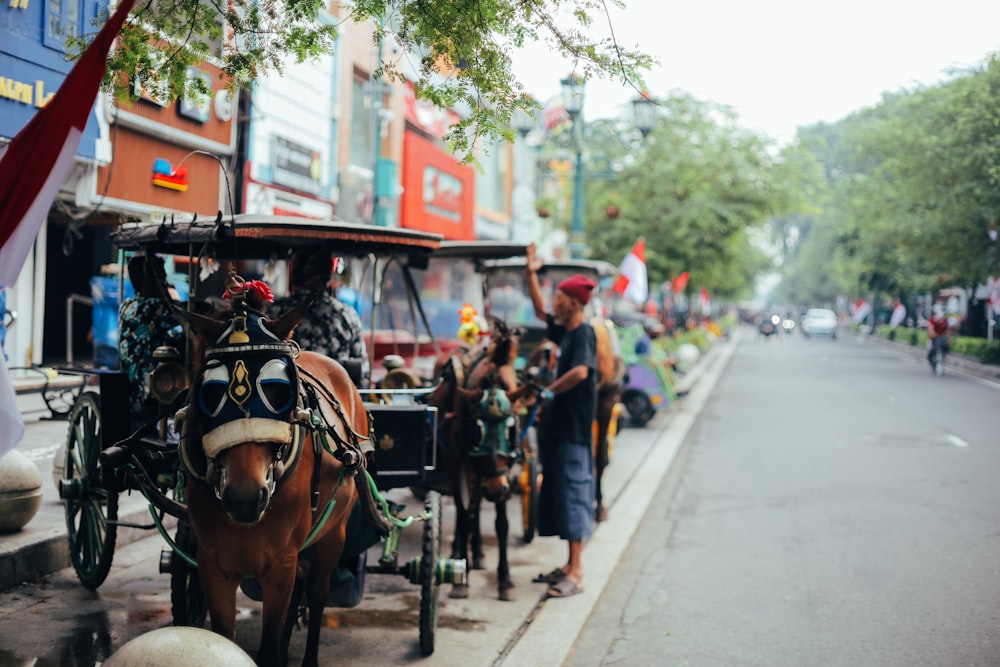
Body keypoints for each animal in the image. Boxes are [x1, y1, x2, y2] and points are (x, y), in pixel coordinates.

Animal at [174, 288, 380, 667]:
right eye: (210, 392)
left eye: (278, 389)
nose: (244, 497)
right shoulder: (212, 567)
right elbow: (224, 638)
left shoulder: (280, 566)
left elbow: (268, 647)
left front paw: (279, 651)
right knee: (302, 585)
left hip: (334, 532)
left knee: (317, 593)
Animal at [424, 316, 528, 604]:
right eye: (477, 430)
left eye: (511, 430)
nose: (493, 489)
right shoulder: (459, 463)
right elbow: (465, 515)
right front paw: (462, 577)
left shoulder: (505, 475)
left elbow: (502, 524)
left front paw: (505, 581)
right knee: (467, 510)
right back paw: (460, 553)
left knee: (477, 505)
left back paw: (478, 552)